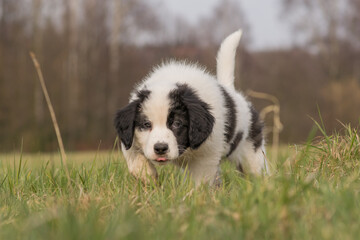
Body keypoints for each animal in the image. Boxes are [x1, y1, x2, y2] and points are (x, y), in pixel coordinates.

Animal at [114, 30, 268, 186]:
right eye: (146, 124)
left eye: (177, 123)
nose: (160, 148)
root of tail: (230, 90)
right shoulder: (128, 138)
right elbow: (133, 156)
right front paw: (147, 175)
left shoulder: (207, 154)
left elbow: (201, 179)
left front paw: (196, 191)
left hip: (251, 151)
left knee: (256, 169)